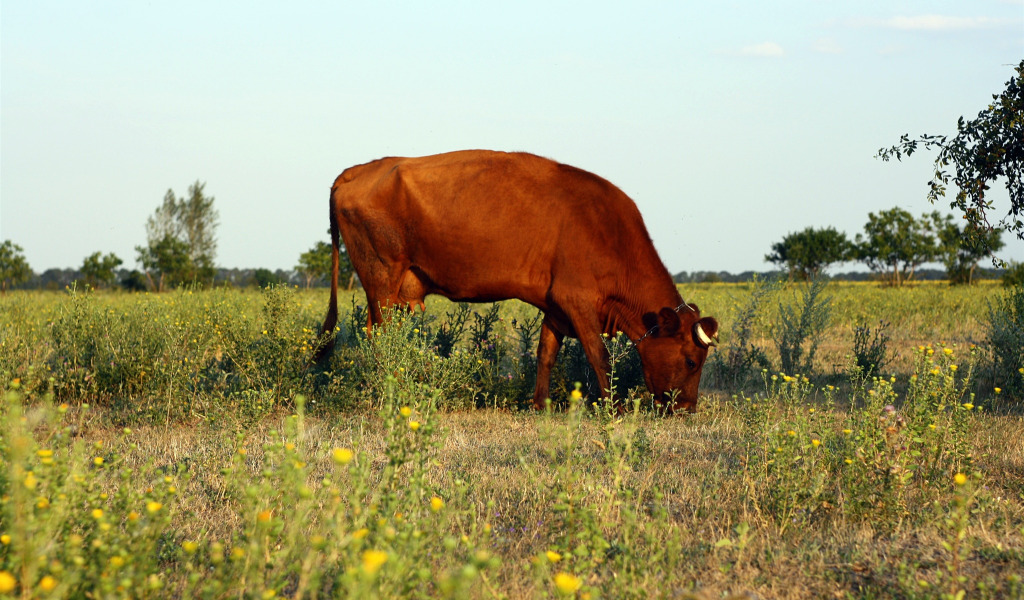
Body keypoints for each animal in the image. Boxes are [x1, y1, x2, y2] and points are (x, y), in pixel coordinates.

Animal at [316, 150, 718, 413]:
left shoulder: (556, 306)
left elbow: (545, 355)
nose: (687, 408)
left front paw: (540, 405)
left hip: (388, 293)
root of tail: (357, 169)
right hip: (382, 281)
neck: (609, 231)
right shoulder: (578, 301)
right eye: (691, 361)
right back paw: (395, 393)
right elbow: (599, 355)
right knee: (381, 340)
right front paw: (613, 408)